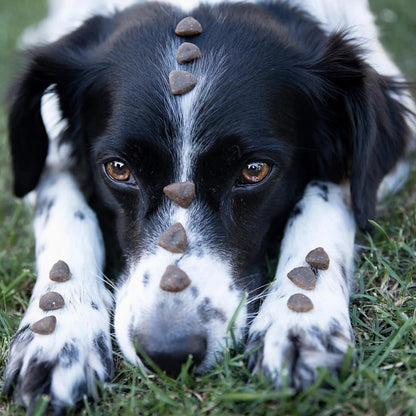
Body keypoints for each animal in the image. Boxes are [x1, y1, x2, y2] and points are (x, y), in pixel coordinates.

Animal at [4, 0, 416, 412]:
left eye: (254, 170)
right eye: (118, 169)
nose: (168, 352)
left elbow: (325, 199)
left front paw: (300, 319)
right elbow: (65, 212)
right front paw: (58, 332)